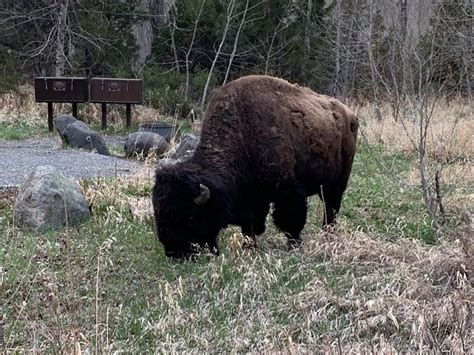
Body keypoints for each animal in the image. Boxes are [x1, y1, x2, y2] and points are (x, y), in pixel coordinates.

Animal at [154, 75, 358, 258]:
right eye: (158, 212)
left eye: (189, 217)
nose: (173, 252)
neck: (242, 133)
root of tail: (348, 114)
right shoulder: (250, 199)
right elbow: (250, 225)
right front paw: (249, 248)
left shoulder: (288, 190)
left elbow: (289, 221)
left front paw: (294, 246)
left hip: (336, 183)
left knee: (330, 208)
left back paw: (328, 235)